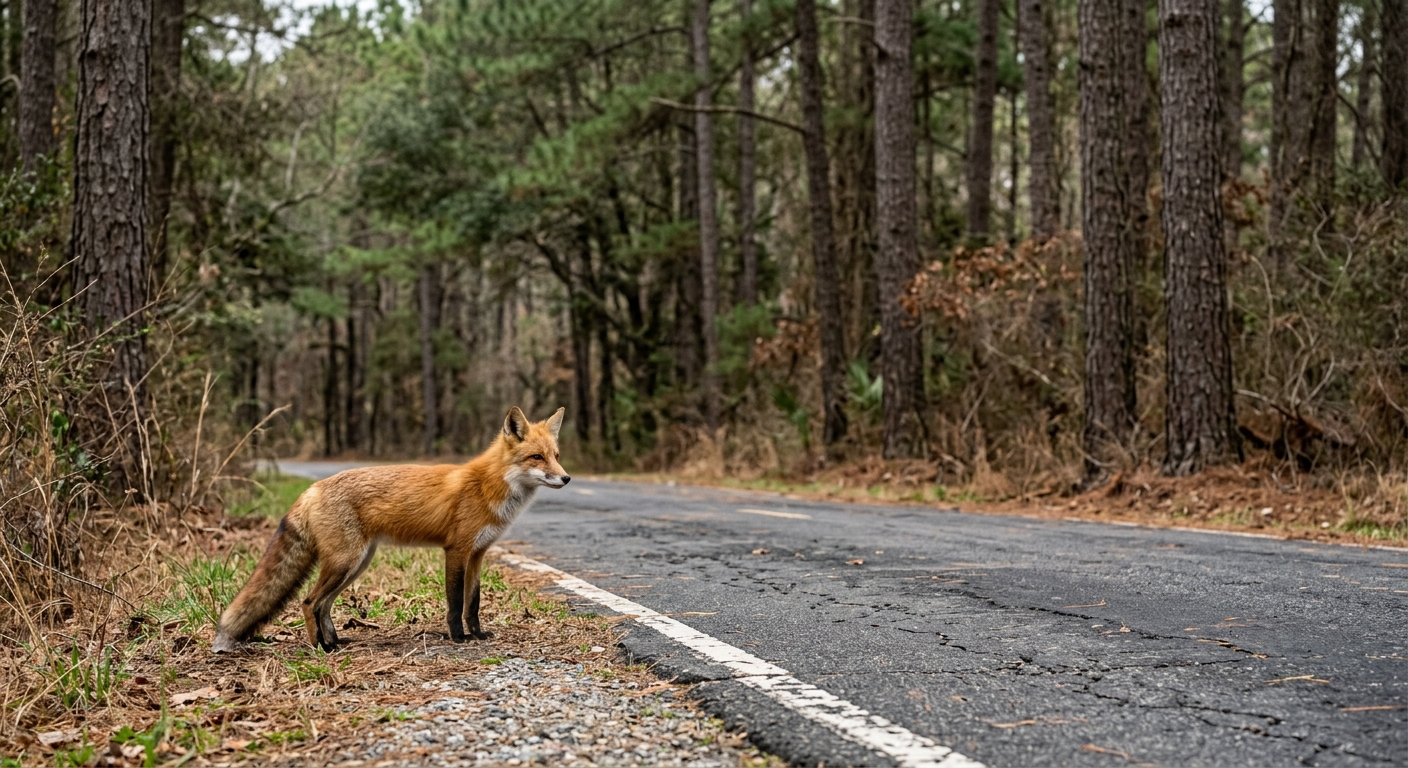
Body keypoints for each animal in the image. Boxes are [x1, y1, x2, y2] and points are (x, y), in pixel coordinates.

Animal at [212, 406, 570, 653]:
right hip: (345, 562)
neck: (487, 486)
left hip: (356, 564)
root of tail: (312, 488)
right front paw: (458, 638)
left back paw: (336, 641)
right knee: (309, 601)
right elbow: (455, 603)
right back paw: (321, 648)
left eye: (556, 456)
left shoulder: (478, 554)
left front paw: (478, 634)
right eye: (536, 457)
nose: (566, 478)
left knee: (324, 605)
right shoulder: (455, 551)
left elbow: (473, 603)